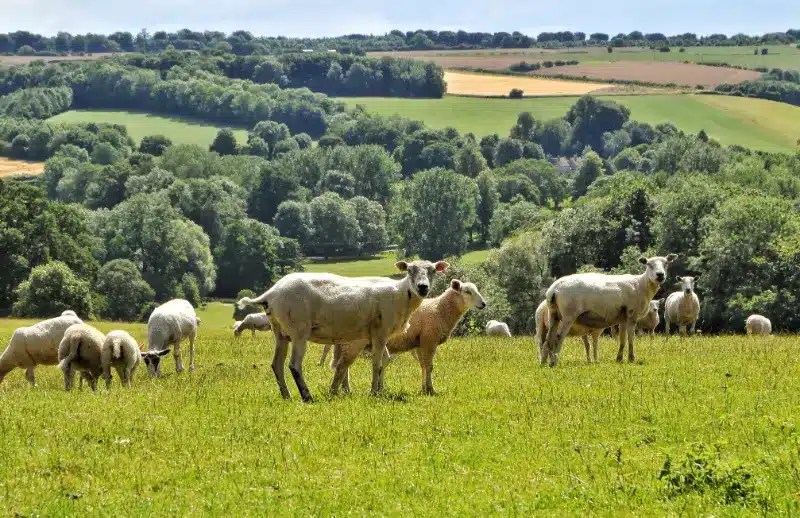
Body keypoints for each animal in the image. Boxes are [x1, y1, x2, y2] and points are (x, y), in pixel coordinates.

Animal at [237, 259, 449, 402]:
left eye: (432, 271)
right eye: (410, 270)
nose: (423, 287)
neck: (401, 295)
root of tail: (271, 293)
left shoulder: (375, 336)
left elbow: (382, 362)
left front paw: (380, 390)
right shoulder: (380, 333)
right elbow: (377, 365)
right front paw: (374, 393)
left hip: (280, 331)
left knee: (277, 364)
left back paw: (286, 396)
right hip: (298, 330)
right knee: (294, 365)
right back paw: (307, 397)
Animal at [330, 279, 486, 395]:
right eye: (467, 291)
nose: (484, 304)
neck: (439, 309)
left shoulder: (420, 343)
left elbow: (423, 366)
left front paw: (423, 389)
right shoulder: (429, 340)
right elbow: (429, 366)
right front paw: (430, 389)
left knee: (345, 366)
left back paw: (346, 390)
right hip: (353, 342)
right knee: (344, 365)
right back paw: (346, 389)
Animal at [542, 254, 677, 367]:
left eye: (666, 263)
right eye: (649, 264)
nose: (660, 275)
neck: (641, 285)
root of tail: (554, 288)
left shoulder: (623, 318)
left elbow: (622, 339)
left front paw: (619, 358)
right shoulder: (632, 314)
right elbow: (631, 338)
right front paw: (631, 358)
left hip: (553, 314)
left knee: (548, 339)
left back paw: (544, 363)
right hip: (569, 314)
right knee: (558, 336)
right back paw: (554, 362)